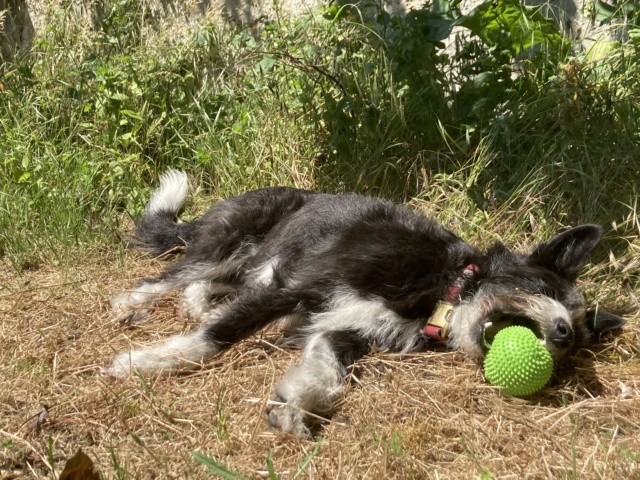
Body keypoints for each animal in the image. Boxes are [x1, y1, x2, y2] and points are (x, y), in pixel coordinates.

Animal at [110, 171, 624, 436]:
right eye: (547, 290)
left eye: (576, 345)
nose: (562, 333)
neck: (444, 286)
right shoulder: (294, 285)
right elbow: (219, 337)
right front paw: (147, 362)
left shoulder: (342, 331)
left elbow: (327, 375)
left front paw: (295, 405)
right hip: (228, 241)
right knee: (168, 275)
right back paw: (133, 304)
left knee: (206, 286)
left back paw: (197, 303)